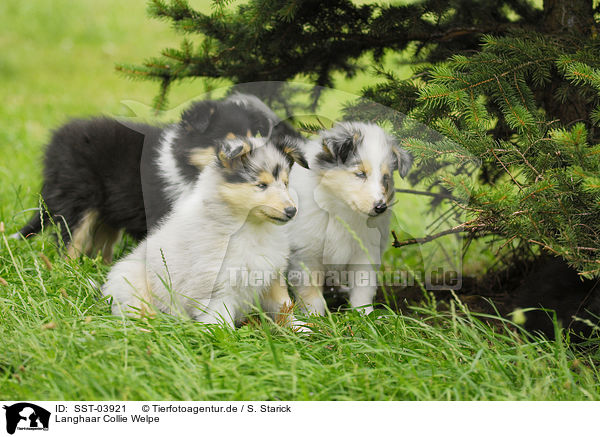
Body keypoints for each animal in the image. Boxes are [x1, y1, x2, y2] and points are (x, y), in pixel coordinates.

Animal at [101, 136, 308, 328]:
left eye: (285, 183)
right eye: (262, 185)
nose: (292, 211)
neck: (253, 228)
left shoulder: (272, 276)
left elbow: (284, 306)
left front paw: (301, 330)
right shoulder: (218, 286)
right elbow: (221, 322)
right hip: (134, 283)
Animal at [286, 121, 412, 316]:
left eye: (385, 178)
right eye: (360, 173)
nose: (381, 207)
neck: (342, 210)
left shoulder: (365, 253)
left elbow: (363, 288)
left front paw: (365, 316)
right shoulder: (306, 254)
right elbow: (311, 294)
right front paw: (315, 319)